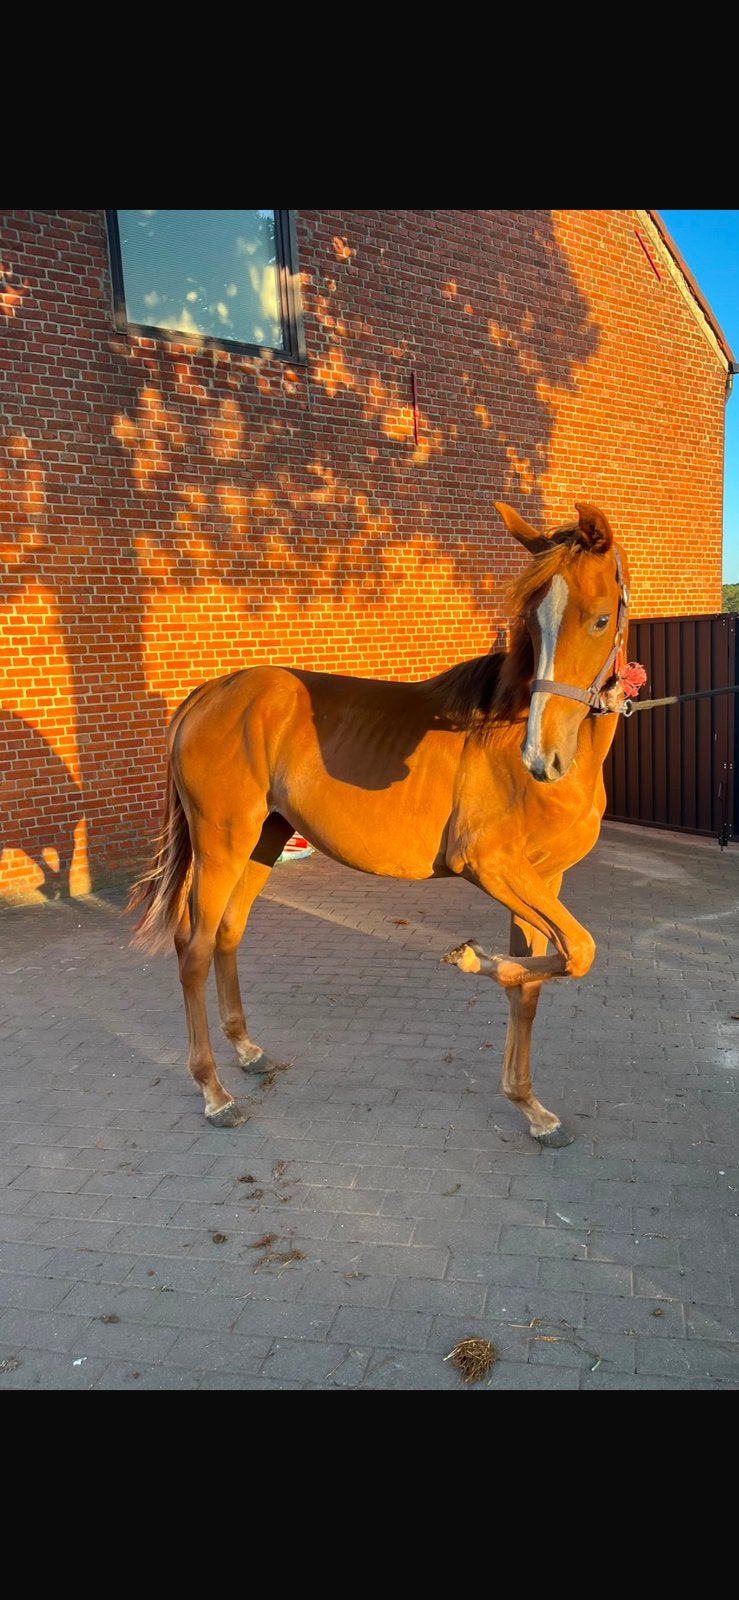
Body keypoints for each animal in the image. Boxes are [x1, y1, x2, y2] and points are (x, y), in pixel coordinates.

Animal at [129, 500, 634, 1147]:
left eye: (599, 621)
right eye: (531, 622)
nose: (540, 757)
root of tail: (211, 692)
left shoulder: (543, 879)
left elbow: (539, 979)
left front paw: (532, 1108)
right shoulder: (493, 867)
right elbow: (580, 951)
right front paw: (471, 957)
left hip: (263, 842)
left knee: (227, 934)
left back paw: (247, 1050)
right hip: (222, 843)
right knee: (192, 948)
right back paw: (215, 1094)